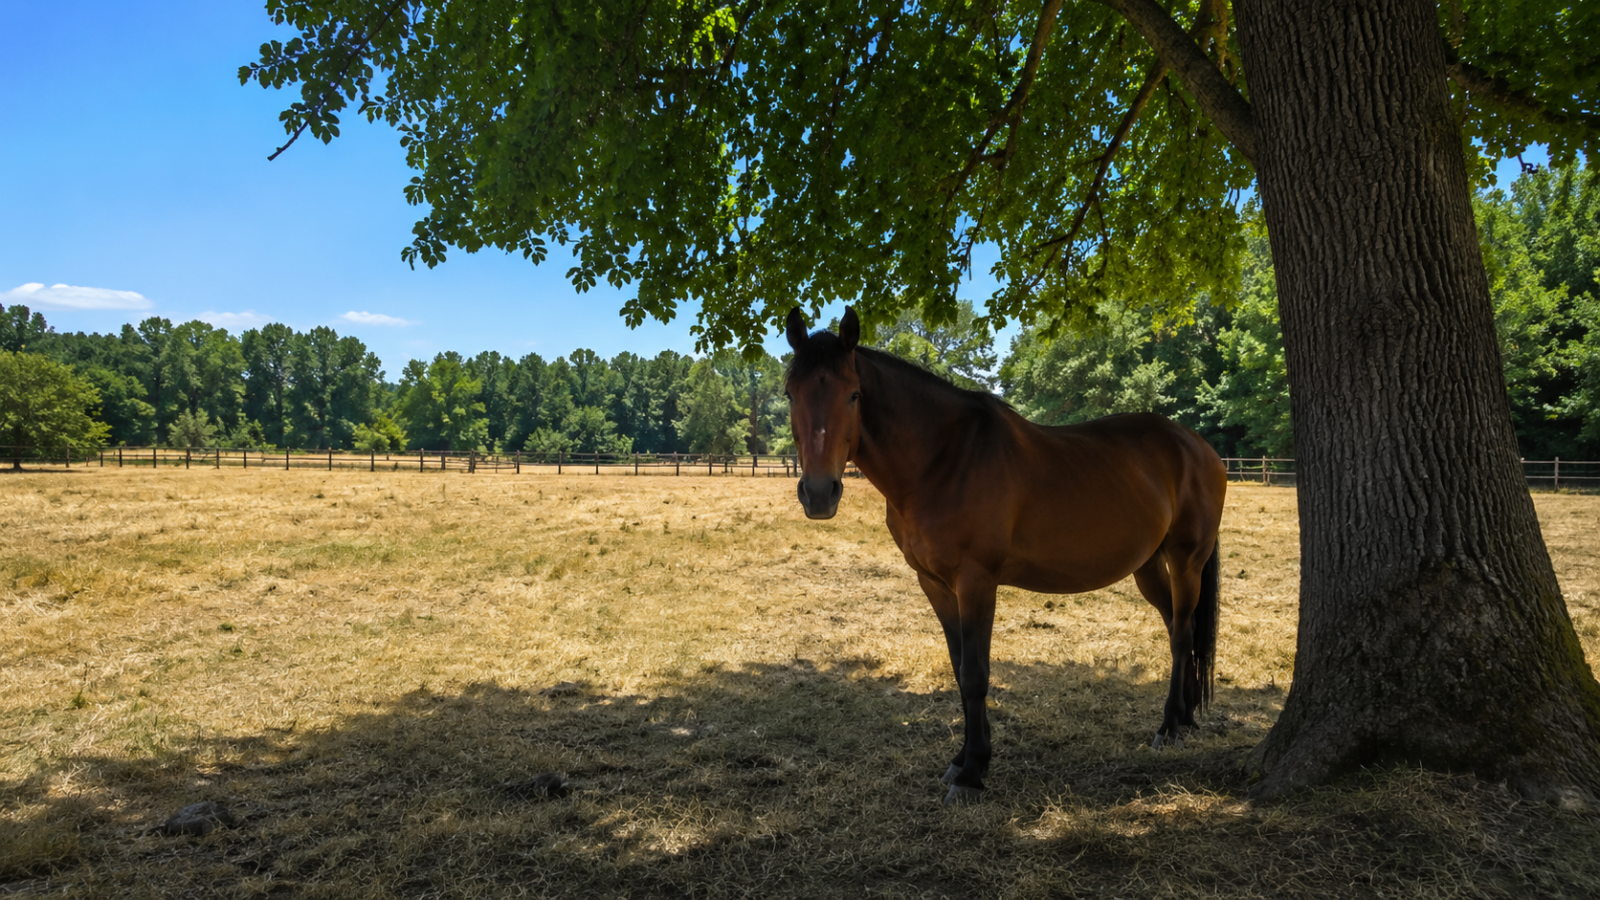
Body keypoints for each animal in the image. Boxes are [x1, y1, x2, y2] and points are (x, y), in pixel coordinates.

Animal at [783, 306, 1226, 806]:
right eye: (790, 393)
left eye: (854, 394)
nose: (820, 494)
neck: (943, 458)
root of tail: (1197, 445)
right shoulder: (935, 584)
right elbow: (959, 670)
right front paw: (962, 759)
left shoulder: (976, 581)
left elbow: (976, 672)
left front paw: (973, 773)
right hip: (1148, 566)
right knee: (1175, 628)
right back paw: (1184, 718)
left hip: (1187, 560)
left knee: (1183, 635)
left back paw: (1169, 726)